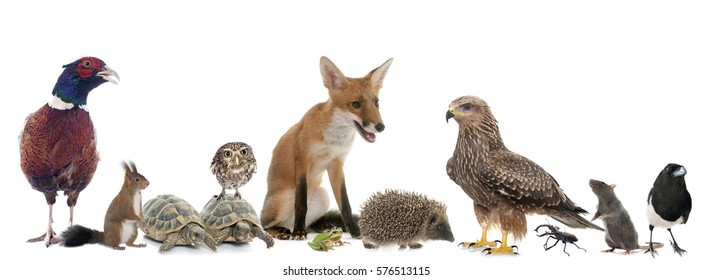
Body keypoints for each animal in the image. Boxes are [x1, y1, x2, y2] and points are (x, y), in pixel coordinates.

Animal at [262, 57, 394, 241]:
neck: (333, 141)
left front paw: (354, 231)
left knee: (310, 223)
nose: (381, 127)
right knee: (263, 226)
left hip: (322, 196)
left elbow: (345, 204)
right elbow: (301, 204)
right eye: (356, 104)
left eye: (376, 102)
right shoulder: (303, 160)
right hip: (283, 200)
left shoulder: (336, 164)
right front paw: (298, 232)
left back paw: (320, 226)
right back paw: (284, 231)